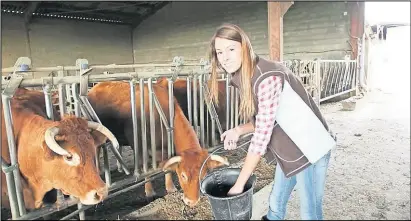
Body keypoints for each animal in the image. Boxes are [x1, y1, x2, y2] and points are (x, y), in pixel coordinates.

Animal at [87, 81, 230, 207]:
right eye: (183, 175)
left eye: (203, 175)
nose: (192, 201)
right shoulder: (139, 146)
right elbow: (145, 170)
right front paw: (150, 192)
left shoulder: (166, 149)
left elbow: (167, 168)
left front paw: (170, 188)